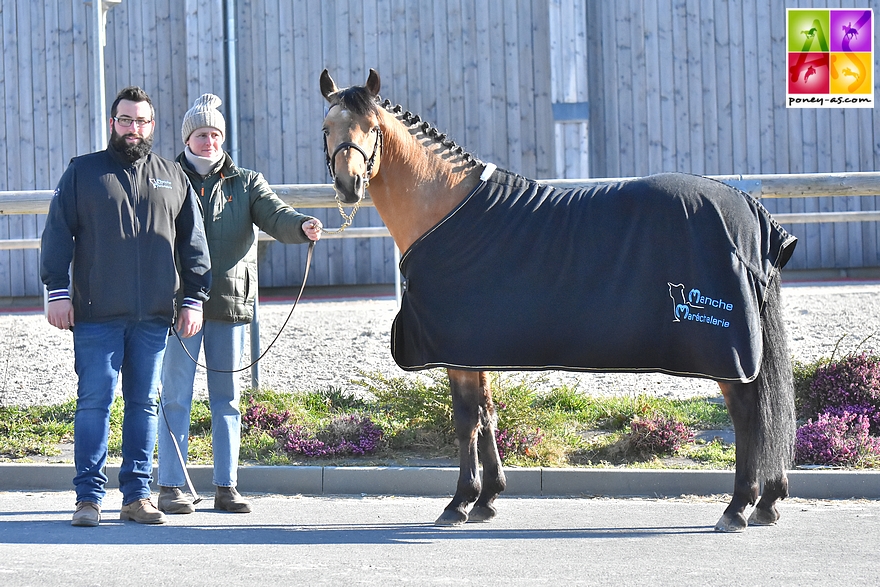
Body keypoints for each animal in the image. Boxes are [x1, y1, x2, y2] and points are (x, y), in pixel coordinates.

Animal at [322, 69, 796, 532]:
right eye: (328, 128)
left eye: (372, 128)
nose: (349, 185)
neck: (444, 207)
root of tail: (749, 209)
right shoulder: (474, 349)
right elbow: (488, 416)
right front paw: (487, 499)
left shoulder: (457, 352)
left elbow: (466, 421)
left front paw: (458, 503)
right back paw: (768, 502)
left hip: (727, 354)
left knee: (749, 415)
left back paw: (739, 506)